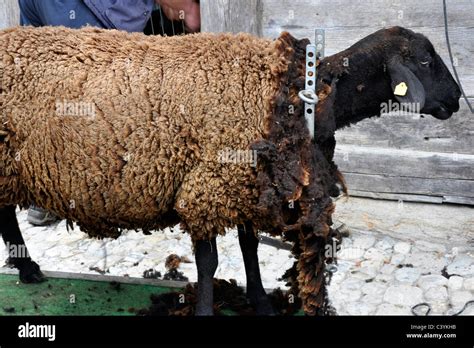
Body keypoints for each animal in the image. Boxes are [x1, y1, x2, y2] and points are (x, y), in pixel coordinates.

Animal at [0, 25, 336, 314]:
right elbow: (208, 261)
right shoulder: (204, 188)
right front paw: (206, 309)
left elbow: (249, 247)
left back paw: (27, 269)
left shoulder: (241, 187)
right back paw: (27, 267)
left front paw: (261, 302)